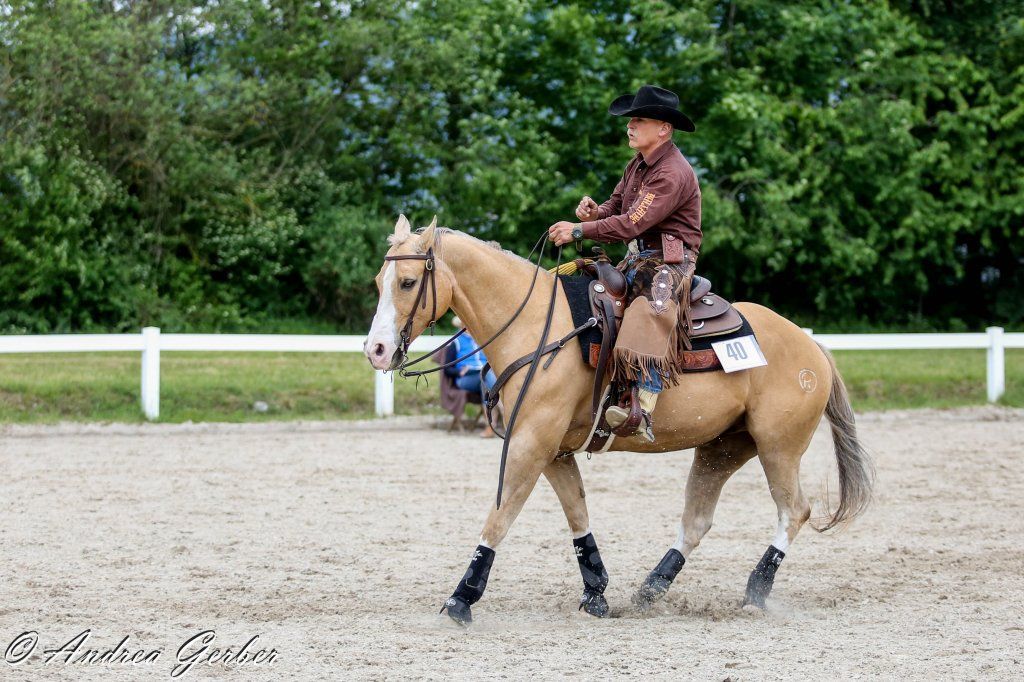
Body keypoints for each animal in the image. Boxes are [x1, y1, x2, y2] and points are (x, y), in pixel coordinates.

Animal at [364, 215, 874, 626]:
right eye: (378, 281)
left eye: (407, 282)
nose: (377, 350)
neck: (537, 326)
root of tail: (812, 347)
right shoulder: (554, 450)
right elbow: (577, 514)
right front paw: (596, 593)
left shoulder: (531, 442)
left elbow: (500, 517)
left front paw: (461, 599)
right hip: (723, 447)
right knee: (697, 521)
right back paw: (651, 588)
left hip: (778, 447)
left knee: (794, 511)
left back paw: (755, 590)